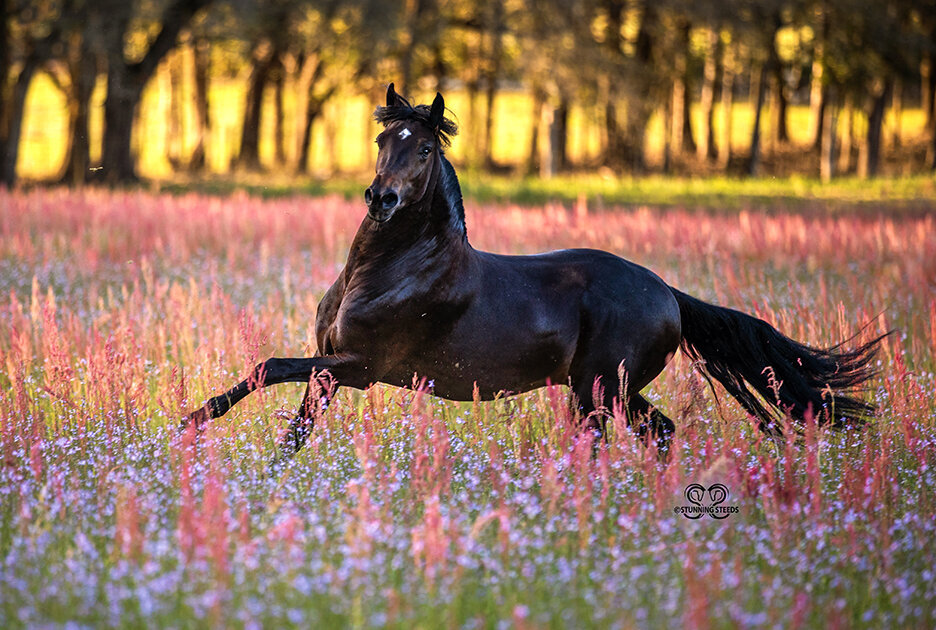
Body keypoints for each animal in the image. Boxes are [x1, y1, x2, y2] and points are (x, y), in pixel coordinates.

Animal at [183, 84, 884, 460]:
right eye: (384, 141)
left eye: (426, 147)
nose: (381, 199)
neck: (387, 271)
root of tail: (669, 294)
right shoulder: (331, 368)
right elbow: (293, 423)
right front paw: (254, 470)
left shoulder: (360, 367)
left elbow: (268, 367)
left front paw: (190, 423)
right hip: (605, 390)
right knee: (660, 432)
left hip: (600, 391)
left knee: (617, 440)